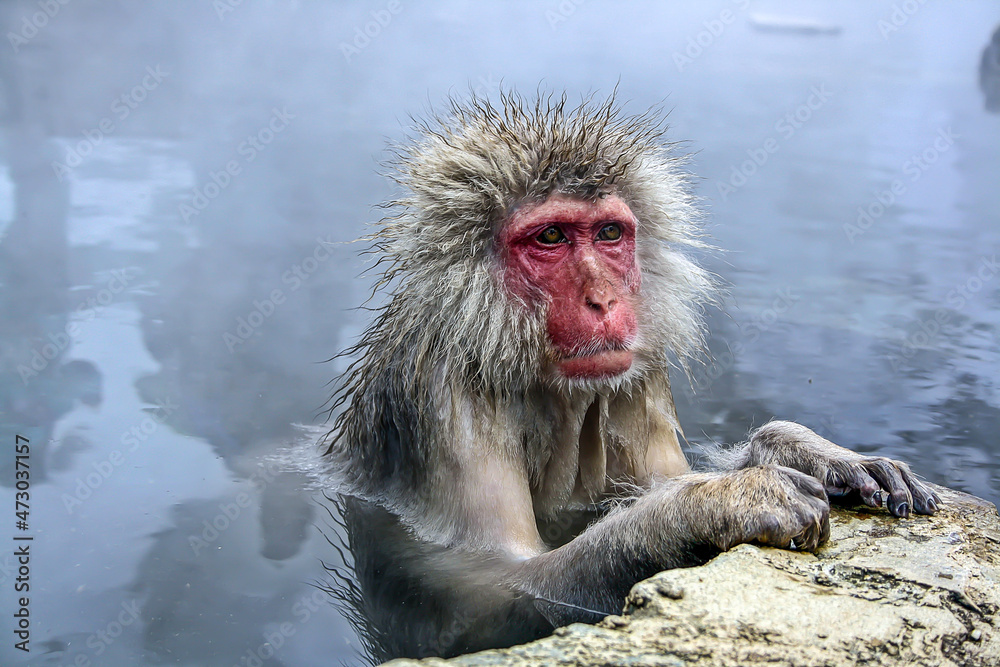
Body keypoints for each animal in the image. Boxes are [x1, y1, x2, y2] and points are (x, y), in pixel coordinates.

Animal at [320, 91, 940, 659]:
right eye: (551, 238)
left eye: (609, 234)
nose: (605, 300)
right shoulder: (443, 395)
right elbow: (482, 587)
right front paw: (712, 506)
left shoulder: (638, 375)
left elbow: (665, 474)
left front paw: (811, 451)